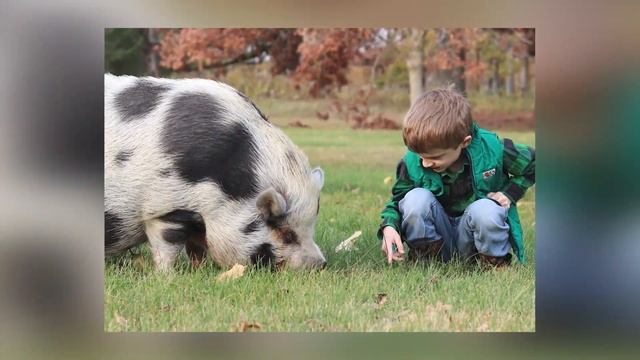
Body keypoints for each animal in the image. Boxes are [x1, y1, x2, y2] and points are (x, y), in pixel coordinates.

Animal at [105, 74, 328, 270]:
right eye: (287, 234)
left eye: (311, 226)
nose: (321, 264)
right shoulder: (165, 207)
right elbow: (167, 246)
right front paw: (168, 276)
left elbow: (197, 247)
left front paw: (198, 270)